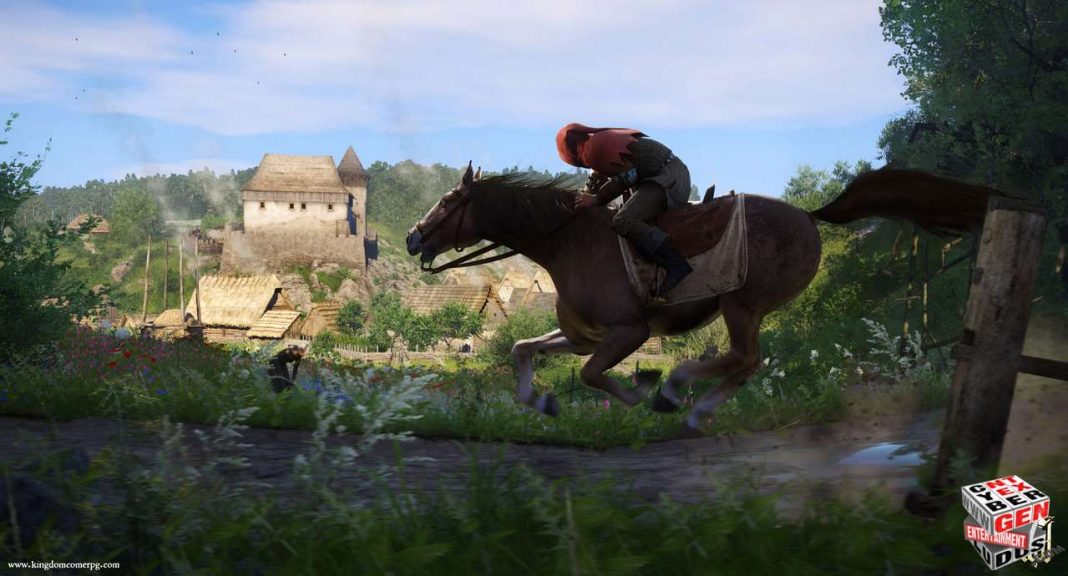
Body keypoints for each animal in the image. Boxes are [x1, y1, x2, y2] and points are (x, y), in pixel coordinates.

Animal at [406, 164, 996, 429]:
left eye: (449, 201)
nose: (413, 237)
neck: (568, 243)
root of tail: (809, 217)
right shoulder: (584, 336)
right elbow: (522, 349)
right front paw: (541, 401)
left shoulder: (629, 333)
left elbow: (592, 376)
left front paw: (640, 390)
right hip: (744, 309)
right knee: (744, 362)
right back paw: (691, 401)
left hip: (743, 304)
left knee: (744, 358)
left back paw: (679, 392)